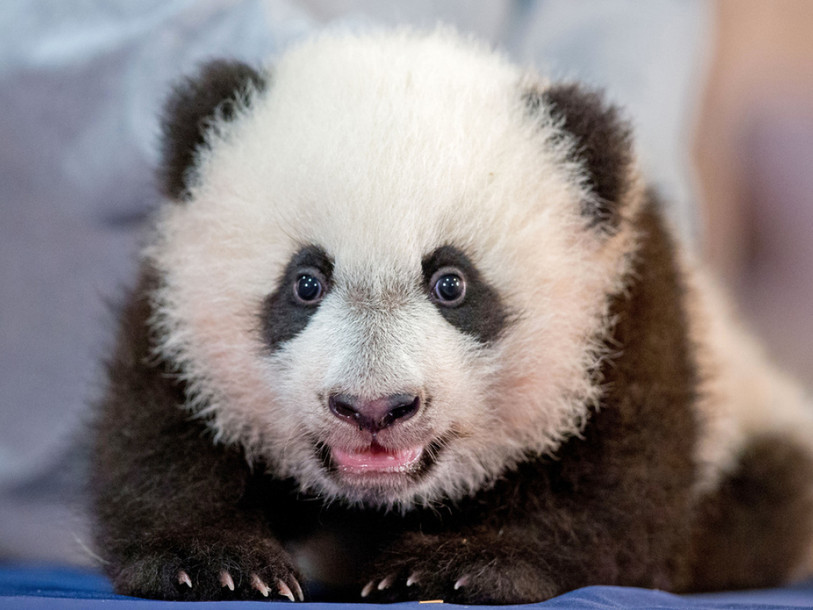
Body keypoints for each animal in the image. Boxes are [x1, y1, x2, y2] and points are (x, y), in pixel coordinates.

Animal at [91, 28, 813, 604]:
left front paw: (455, 566)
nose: (374, 409)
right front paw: (215, 562)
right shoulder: (174, 312)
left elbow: (616, 491)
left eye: (451, 285)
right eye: (305, 283)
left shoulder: (629, 310)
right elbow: (158, 437)